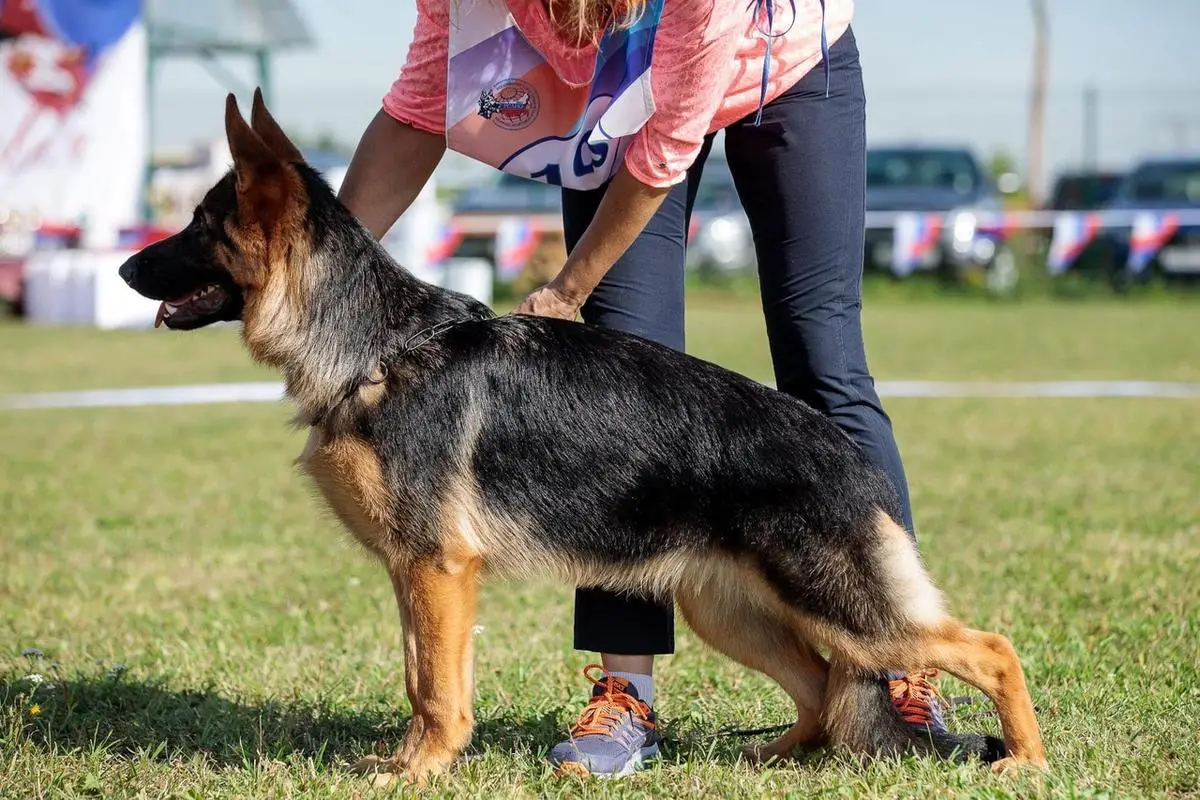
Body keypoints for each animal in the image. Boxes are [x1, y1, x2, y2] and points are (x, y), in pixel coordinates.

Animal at [117, 92, 1046, 782]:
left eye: (197, 226)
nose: (123, 268)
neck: (375, 345)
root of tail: (849, 455)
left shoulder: (436, 571)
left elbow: (434, 687)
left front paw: (419, 770)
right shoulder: (418, 575)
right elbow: (422, 676)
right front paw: (414, 762)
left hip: (846, 609)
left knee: (989, 649)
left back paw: (1025, 761)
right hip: (726, 612)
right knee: (821, 692)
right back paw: (771, 758)